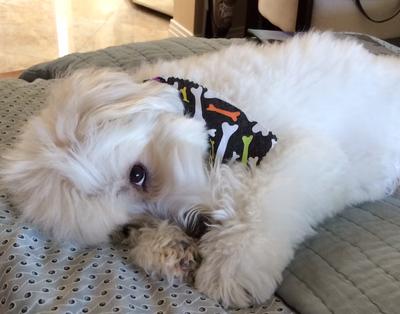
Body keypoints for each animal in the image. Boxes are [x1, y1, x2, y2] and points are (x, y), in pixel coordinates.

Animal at [2, 33, 400, 308]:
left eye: (138, 174)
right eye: (126, 226)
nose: (194, 229)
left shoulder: (303, 152)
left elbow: (261, 202)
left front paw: (233, 264)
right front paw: (166, 249)